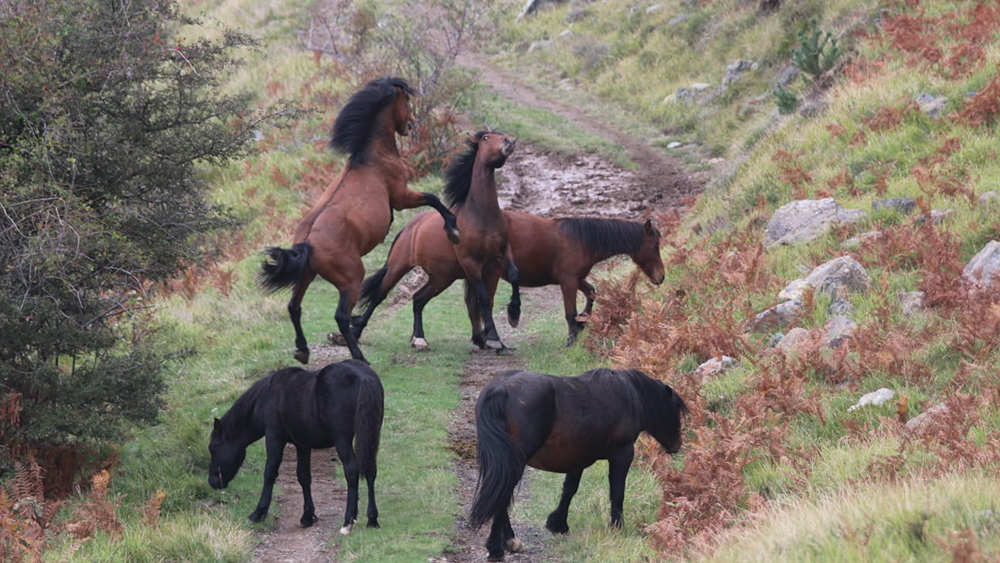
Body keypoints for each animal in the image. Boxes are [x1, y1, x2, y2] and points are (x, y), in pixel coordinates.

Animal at [208, 360, 384, 535]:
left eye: (212, 448)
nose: (212, 482)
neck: (267, 398)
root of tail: (364, 376)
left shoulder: (274, 437)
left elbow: (270, 472)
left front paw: (258, 513)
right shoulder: (302, 444)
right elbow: (304, 477)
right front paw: (307, 516)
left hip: (343, 440)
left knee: (352, 471)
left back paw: (348, 522)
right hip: (370, 434)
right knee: (370, 470)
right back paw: (372, 519)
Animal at [258, 77, 461, 365]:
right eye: (406, 100)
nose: (410, 124)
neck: (372, 157)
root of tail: (307, 243)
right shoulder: (402, 197)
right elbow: (433, 198)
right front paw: (452, 227)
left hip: (307, 276)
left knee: (294, 307)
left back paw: (303, 350)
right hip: (351, 279)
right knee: (341, 315)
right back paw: (359, 356)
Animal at [351, 131, 519, 351]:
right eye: (486, 138)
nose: (510, 141)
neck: (481, 215)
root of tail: (409, 228)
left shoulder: (501, 255)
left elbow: (512, 278)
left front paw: (513, 316)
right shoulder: (471, 263)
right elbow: (483, 298)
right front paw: (493, 339)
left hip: (442, 277)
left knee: (418, 299)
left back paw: (419, 339)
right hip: (398, 267)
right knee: (380, 295)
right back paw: (356, 332)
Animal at [469, 368, 687, 561]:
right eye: (675, 411)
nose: (676, 445)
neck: (629, 395)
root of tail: (501, 388)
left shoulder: (577, 458)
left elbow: (569, 489)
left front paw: (558, 523)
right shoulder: (622, 454)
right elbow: (617, 493)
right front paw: (617, 526)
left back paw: (508, 541)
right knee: (502, 496)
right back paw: (497, 547)